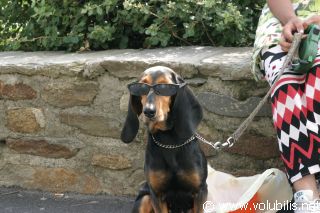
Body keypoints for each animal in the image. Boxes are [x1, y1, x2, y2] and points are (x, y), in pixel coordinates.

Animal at [120, 65, 208, 212]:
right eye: (141, 87)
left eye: (165, 87)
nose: (149, 111)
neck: (169, 142)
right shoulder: (156, 194)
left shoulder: (200, 192)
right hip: (144, 198)